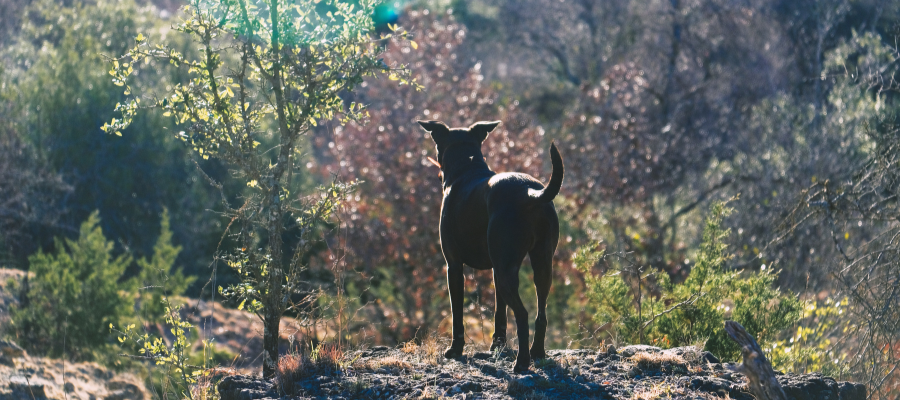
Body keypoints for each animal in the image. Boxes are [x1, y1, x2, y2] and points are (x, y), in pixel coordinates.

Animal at [416, 119, 564, 372]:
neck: (467, 168)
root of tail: (530, 194)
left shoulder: (454, 266)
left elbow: (457, 314)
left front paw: (455, 350)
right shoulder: (496, 268)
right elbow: (499, 312)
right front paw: (498, 346)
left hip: (507, 272)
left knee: (523, 314)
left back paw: (522, 362)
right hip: (541, 265)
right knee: (541, 314)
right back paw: (537, 353)